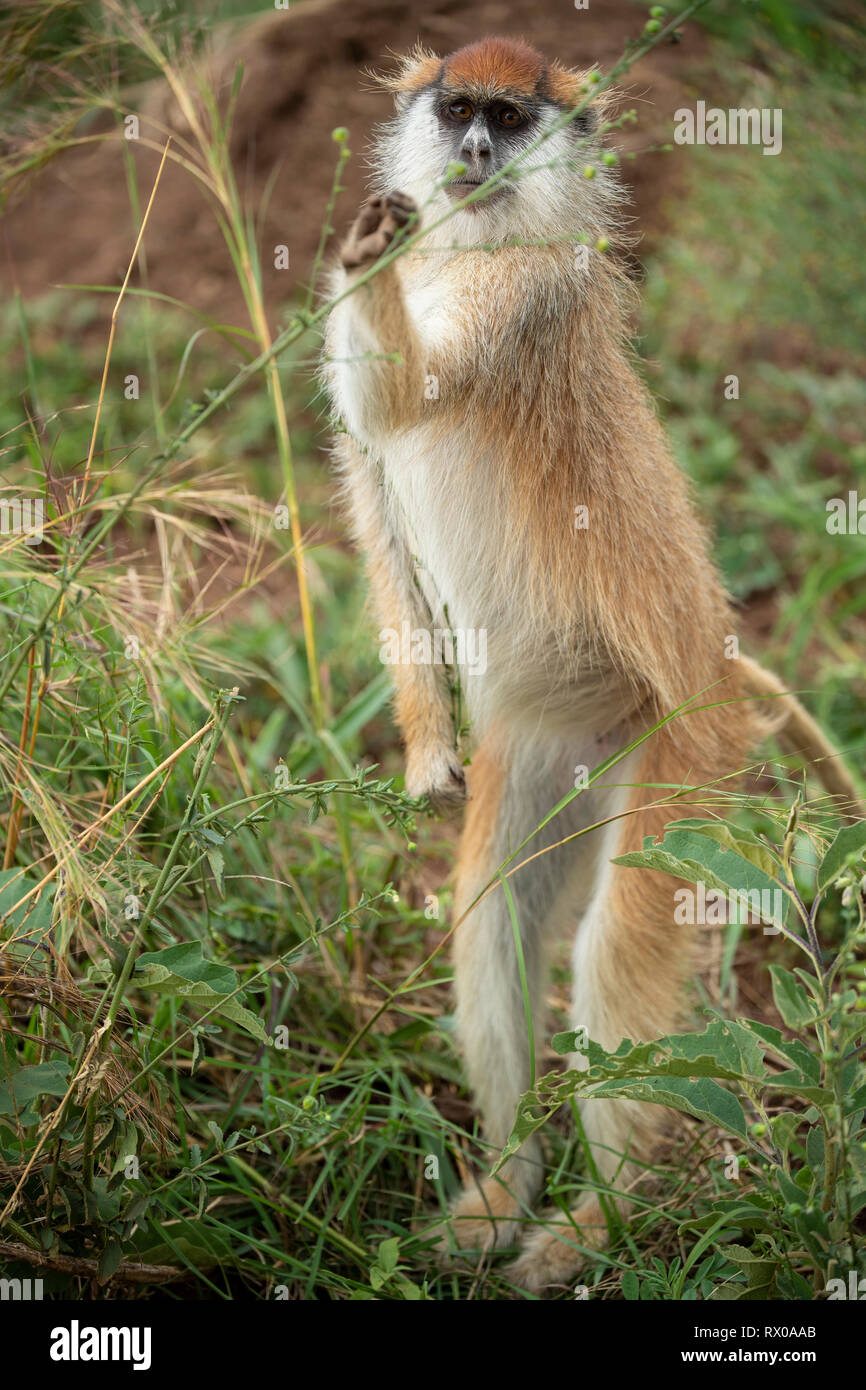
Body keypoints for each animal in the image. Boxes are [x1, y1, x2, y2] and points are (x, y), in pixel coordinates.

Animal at [323, 32, 861, 1289]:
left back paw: (593, 1227)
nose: (473, 152)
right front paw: (425, 748)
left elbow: (407, 390)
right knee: (494, 928)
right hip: (562, 738)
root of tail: (713, 672)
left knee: (612, 950)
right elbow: (374, 470)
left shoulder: (517, 296)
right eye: (458, 109)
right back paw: (502, 1194)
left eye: (512, 119)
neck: (471, 242)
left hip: (684, 753)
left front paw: (374, 252)